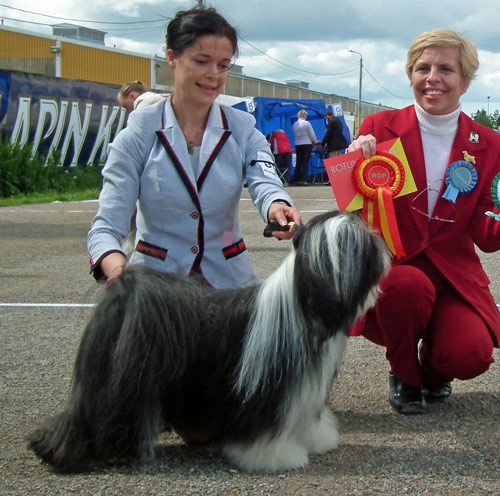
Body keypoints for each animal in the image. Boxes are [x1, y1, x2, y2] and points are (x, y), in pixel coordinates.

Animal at [28, 210, 390, 472]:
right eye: (361, 246)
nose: (384, 249)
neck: (302, 305)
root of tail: (125, 290)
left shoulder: (302, 393)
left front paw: (316, 439)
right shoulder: (265, 393)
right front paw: (276, 457)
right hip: (115, 383)